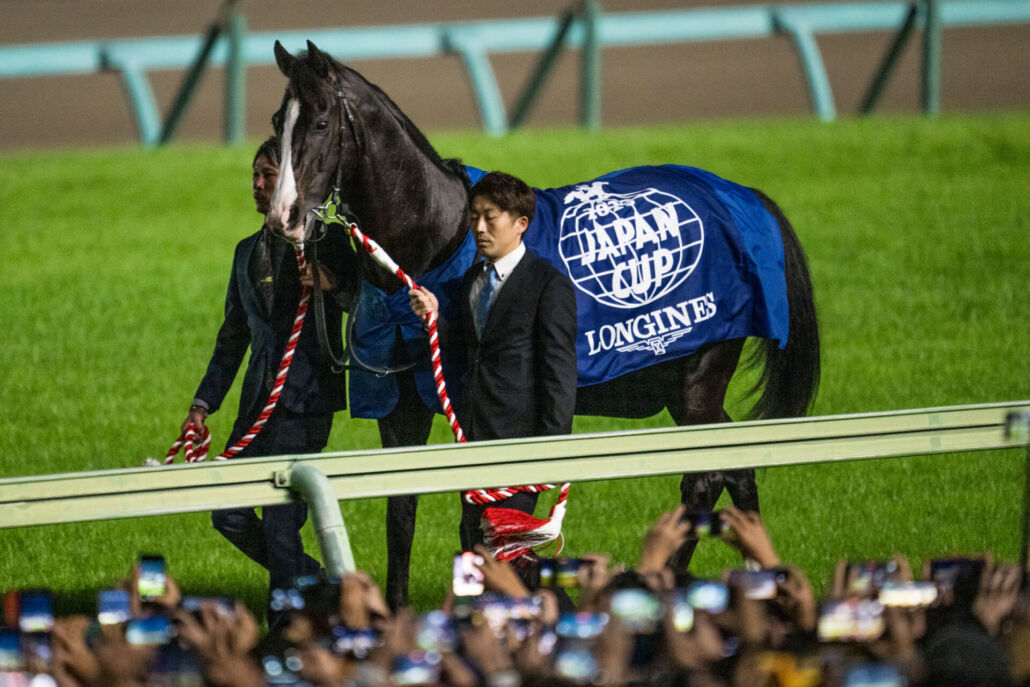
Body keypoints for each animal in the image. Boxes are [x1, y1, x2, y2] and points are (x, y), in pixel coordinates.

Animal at [266, 41, 820, 608]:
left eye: (321, 123)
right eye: (277, 122)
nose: (284, 217)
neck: (439, 242)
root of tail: (744, 198)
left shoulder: (488, 417)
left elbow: (483, 519)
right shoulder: (401, 408)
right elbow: (401, 514)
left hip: (699, 377)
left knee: (703, 480)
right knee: (737, 466)